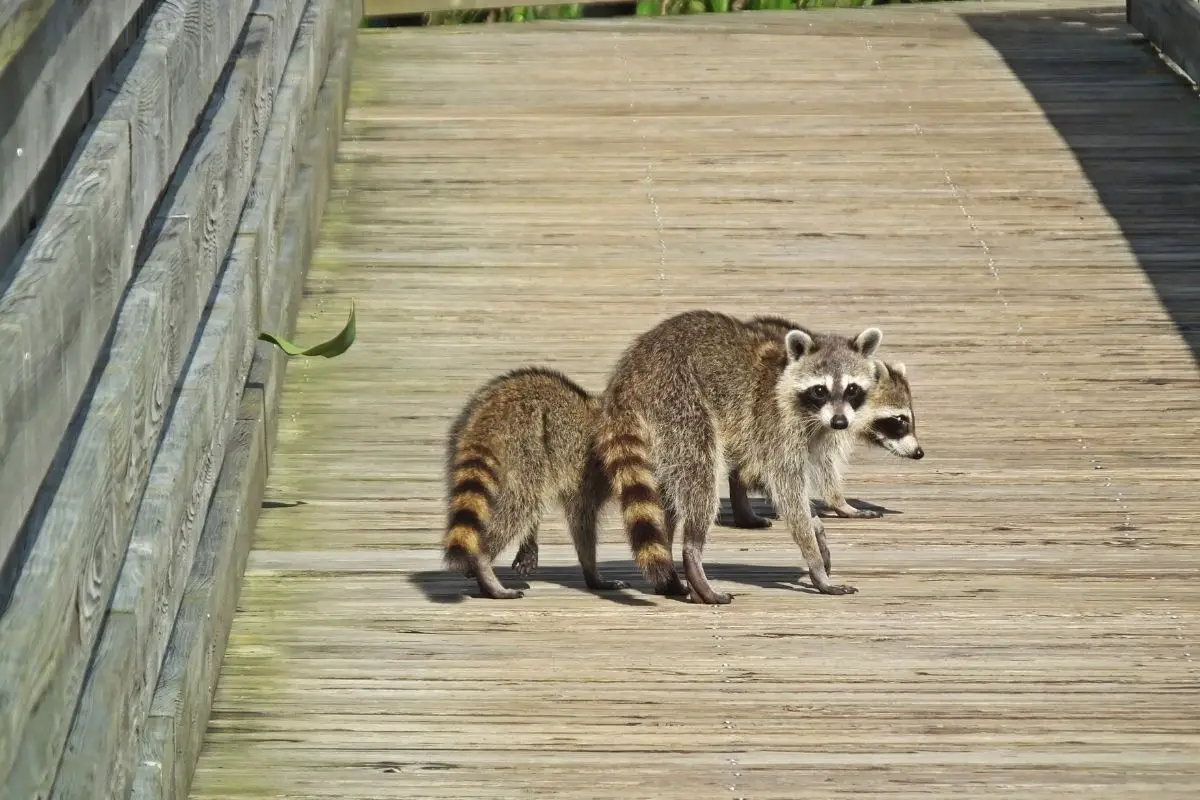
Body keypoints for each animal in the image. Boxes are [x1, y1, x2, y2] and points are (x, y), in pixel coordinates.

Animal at [441, 367, 628, 597]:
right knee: (522, 501)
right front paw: (591, 571)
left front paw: (529, 543)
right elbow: (581, 520)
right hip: (525, 445)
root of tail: (488, 416)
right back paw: (483, 564)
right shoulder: (591, 475)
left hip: (461, 443)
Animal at [597, 309, 883, 604]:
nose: (840, 422)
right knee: (700, 476)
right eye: (820, 390)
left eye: (852, 389)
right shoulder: (773, 422)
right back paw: (693, 551)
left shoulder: (814, 433)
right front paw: (814, 559)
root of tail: (629, 373)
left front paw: (817, 525)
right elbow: (784, 488)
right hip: (676, 400)